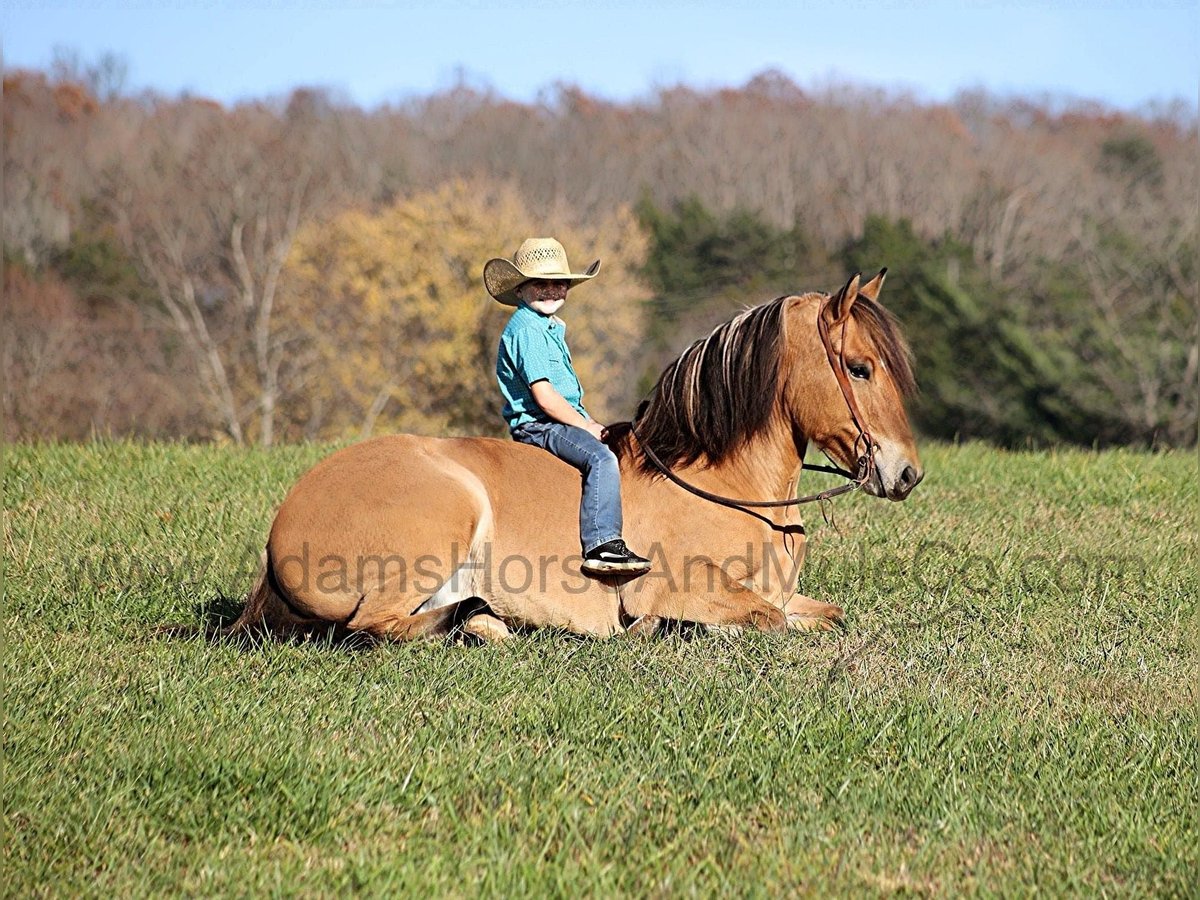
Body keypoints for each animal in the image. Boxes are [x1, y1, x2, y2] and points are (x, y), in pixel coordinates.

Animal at [225, 271, 916, 643]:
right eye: (859, 367)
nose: (907, 473)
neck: (726, 486)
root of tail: (282, 526)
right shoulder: (676, 585)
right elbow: (762, 618)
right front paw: (662, 630)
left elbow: (824, 614)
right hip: (443, 520)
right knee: (377, 625)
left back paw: (484, 620)